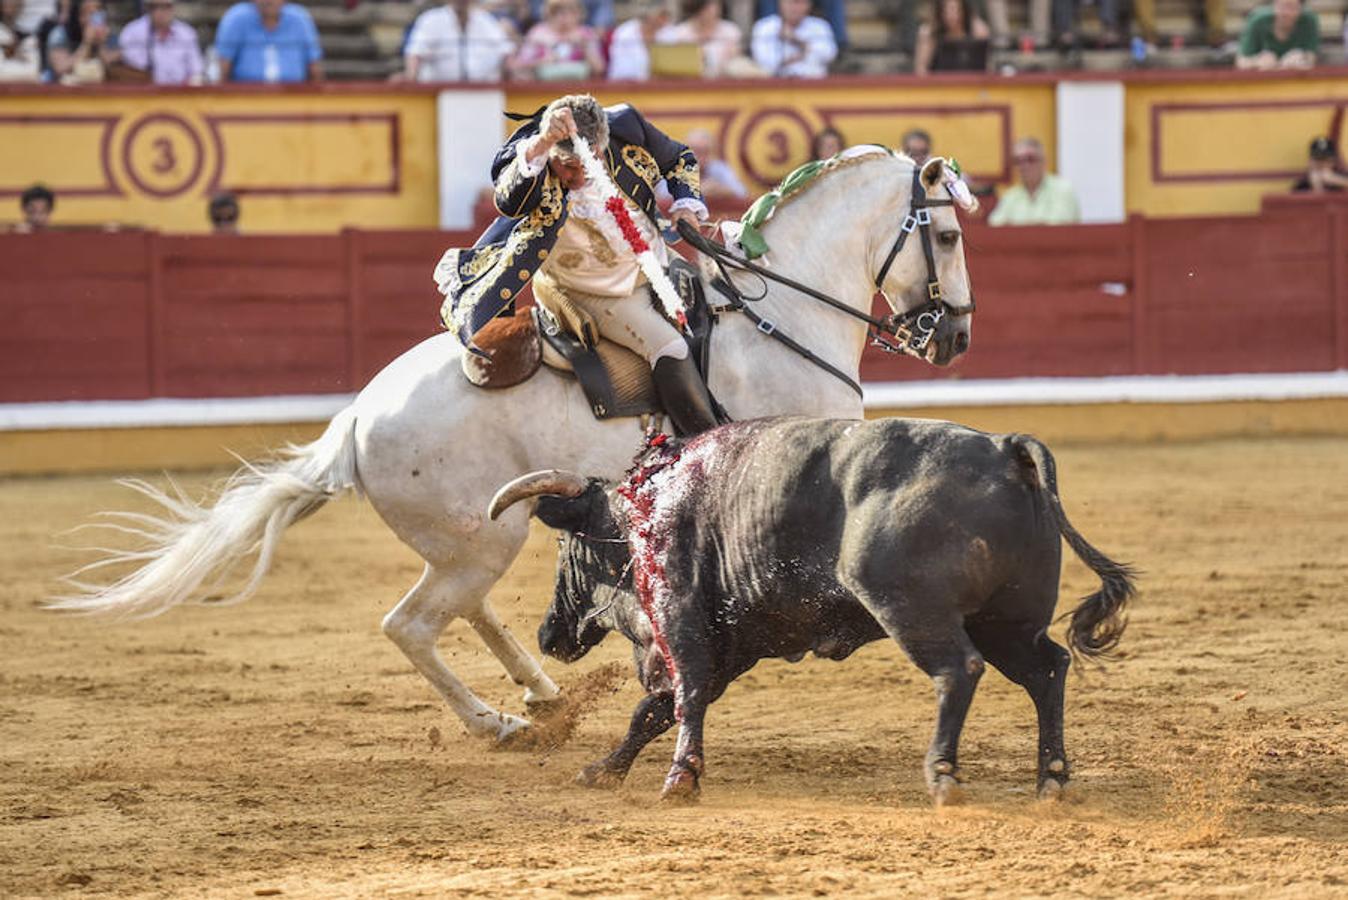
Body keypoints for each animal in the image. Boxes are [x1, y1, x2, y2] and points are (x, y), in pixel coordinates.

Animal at [55, 149, 981, 738]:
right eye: (947, 235)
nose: (954, 339)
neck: (777, 313)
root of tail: (355, 423)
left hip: (476, 537)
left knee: (463, 609)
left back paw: (543, 697)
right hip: (482, 540)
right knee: (411, 625)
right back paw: (500, 724)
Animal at [490, 417, 1132, 802]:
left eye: (568, 546)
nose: (549, 634)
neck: (640, 514)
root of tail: (1005, 449)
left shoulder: (682, 618)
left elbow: (683, 698)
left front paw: (680, 780)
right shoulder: (732, 643)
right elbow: (653, 711)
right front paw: (605, 769)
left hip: (913, 610)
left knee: (959, 670)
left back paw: (943, 774)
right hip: (1006, 622)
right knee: (1047, 670)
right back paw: (1051, 779)